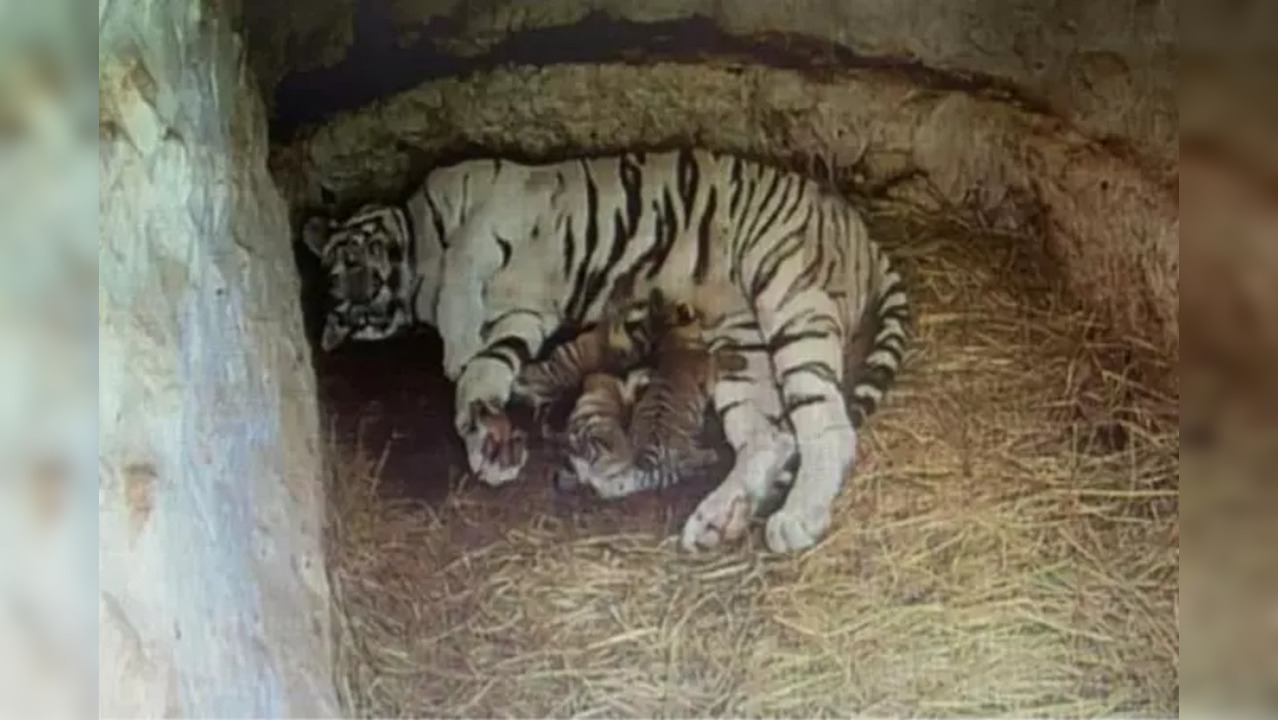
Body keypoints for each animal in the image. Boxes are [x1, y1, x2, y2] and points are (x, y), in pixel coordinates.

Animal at [301, 146, 909, 552]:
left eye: (352, 262)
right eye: (354, 316)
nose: (370, 293)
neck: (417, 268)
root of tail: (859, 228)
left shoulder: (491, 202)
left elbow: (463, 267)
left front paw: (457, 347)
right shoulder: (521, 317)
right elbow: (486, 370)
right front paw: (488, 445)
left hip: (789, 293)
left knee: (827, 427)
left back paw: (796, 518)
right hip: (738, 339)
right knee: (769, 437)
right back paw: (718, 520)